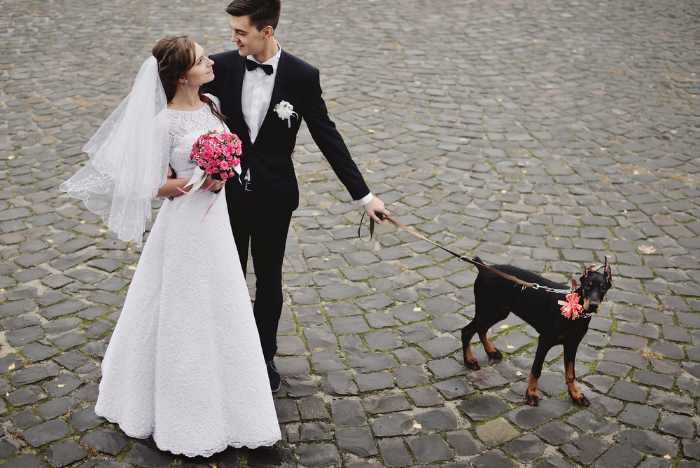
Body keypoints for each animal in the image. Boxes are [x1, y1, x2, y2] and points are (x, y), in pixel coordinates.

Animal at [462, 256, 616, 406]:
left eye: (603, 288)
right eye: (587, 286)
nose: (593, 305)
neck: (576, 311)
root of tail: (483, 268)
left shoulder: (572, 344)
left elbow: (570, 373)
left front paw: (576, 395)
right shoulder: (544, 341)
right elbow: (536, 369)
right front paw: (531, 394)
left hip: (498, 312)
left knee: (481, 328)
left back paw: (491, 351)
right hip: (488, 309)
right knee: (467, 331)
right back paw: (469, 361)